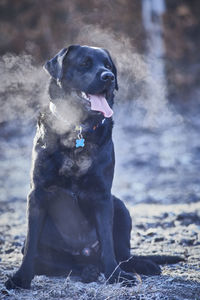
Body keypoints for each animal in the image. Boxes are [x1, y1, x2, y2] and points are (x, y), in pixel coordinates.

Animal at [5, 44, 183, 288]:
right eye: (84, 64)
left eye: (108, 66)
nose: (108, 77)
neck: (78, 129)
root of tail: (83, 253)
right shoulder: (38, 193)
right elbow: (31, 244)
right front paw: (21, 278)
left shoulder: (103, 195)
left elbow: (107, 244)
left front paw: (115, 276)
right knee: (64, 264)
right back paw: (88, 271)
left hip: (120, 206)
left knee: (123, 255)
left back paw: (140, 266)